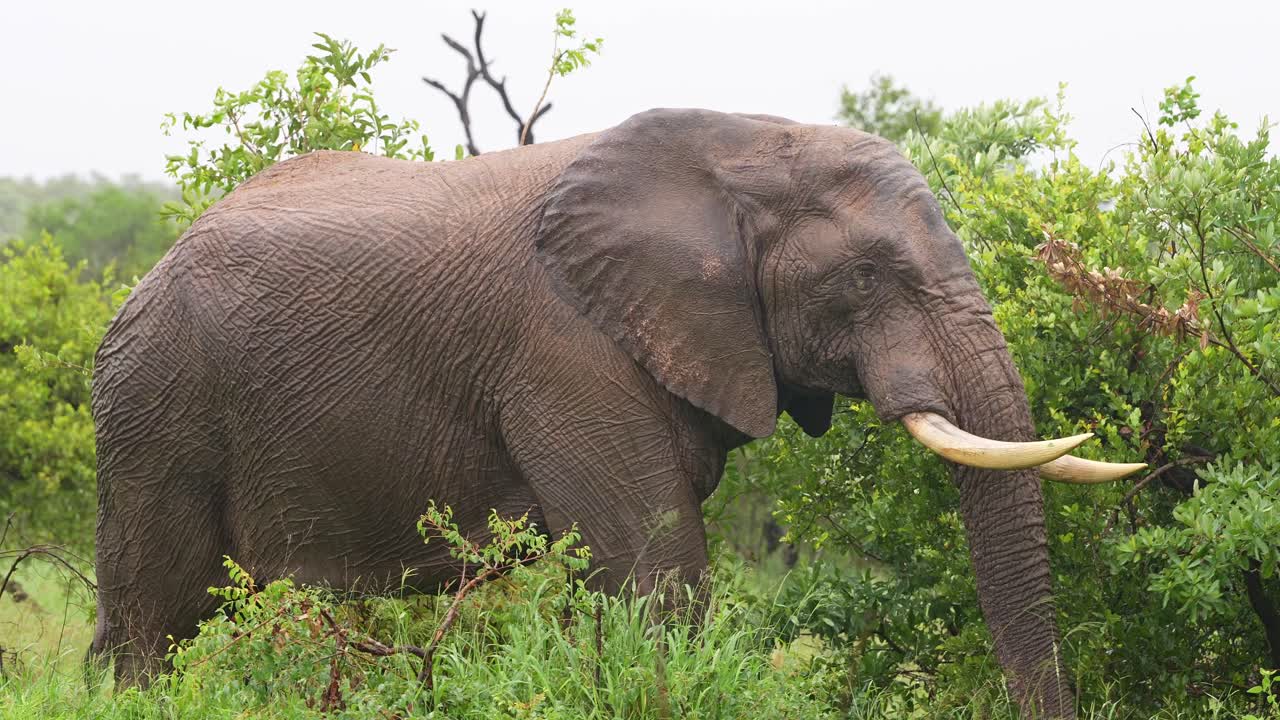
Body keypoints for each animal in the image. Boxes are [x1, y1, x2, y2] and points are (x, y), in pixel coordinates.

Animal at [90, 108, 1142, 717]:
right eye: (866, 277)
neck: (737, 151)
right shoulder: (564, 350)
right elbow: (657, 574)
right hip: (158, 405)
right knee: (154, 618)